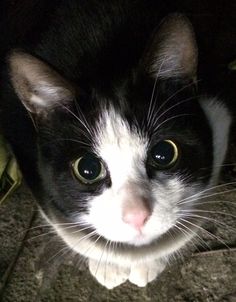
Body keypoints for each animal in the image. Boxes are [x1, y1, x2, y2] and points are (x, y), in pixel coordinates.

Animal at [0, 0, 232, 290]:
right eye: (87, 169)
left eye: (164, 153)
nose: (136, 215)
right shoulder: (28, 155)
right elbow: (69, 230)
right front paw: (110, 264)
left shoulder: (218, 114)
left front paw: (147, 260)